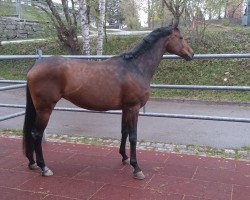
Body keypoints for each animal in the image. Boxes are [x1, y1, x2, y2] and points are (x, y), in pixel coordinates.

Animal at [23, 21, 193, 180]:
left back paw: (32, 163)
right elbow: (133, 136)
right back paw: (44, 167)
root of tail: (35, 66)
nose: (191, 54)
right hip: (45, 109)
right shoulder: (133, 108)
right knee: (37, 134)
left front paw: (124, 158)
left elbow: (124, 132)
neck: (136, 67)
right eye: (180, 37)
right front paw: (136, 168)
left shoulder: (125, 108)